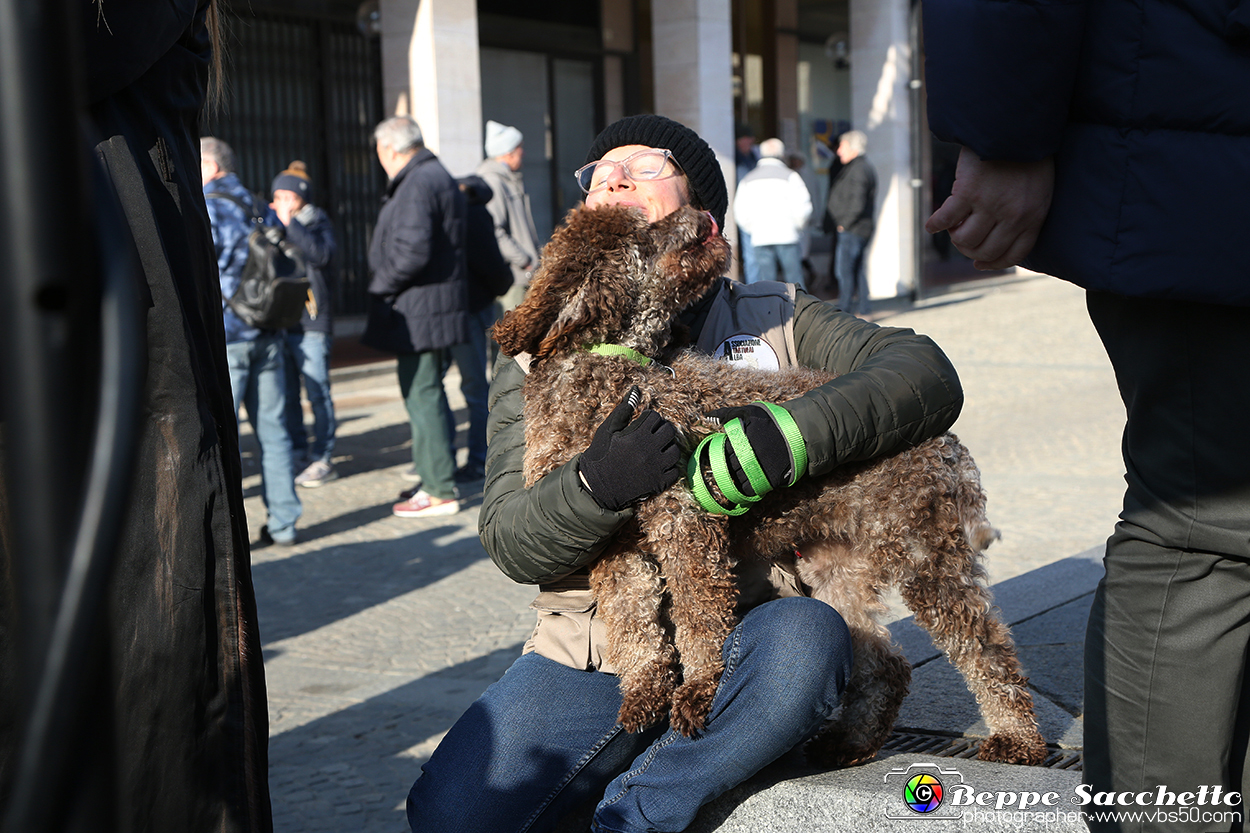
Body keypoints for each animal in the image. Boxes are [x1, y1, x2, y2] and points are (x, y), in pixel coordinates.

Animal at [492, 202, 1050, 765]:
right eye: (644, 231)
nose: (698, 213)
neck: (611, 371)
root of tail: (944, 439)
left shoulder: (685, 521)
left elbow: (697, 614)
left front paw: (700, 687)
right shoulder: (614, 539)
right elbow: (633, 619)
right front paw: (647, 689)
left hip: (925, 557)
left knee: (986, 649)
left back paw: (1016, 738)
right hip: (839, 568)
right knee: (885, 663)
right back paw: (849, 742)